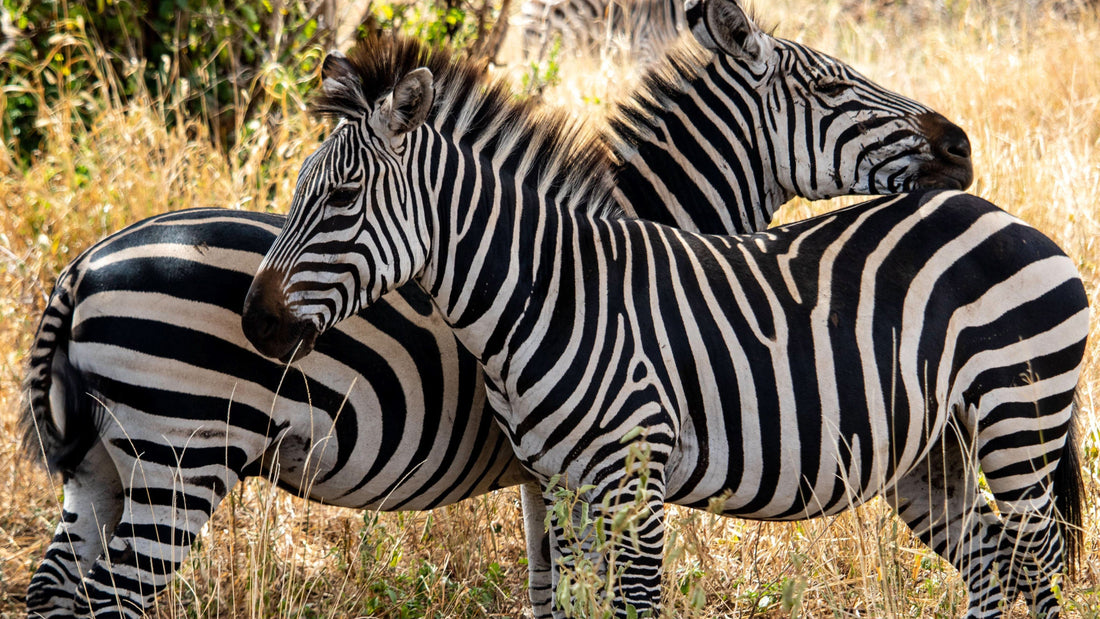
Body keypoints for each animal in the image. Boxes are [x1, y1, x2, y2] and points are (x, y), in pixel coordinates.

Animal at [21, 0, 975, 614]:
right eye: (835, 87)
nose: (961, 145)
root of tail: (83, 264)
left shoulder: (548, 474)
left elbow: (550, 591)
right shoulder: (577, 466)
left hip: (102, 467)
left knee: (56, 586)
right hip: (180, 458)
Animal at [240, 23, 1089, 619]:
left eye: (342, 199)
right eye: (830, 83)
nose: (256, 322)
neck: (546, 292)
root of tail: (1005, 216)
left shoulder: (633, 485)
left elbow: (627, 602)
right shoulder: (560, 487)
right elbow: (565, 599)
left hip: (1019, 416)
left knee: (1037, 562)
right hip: (936, 448)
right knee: (993, 558)